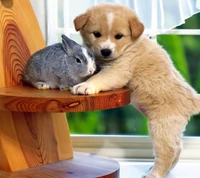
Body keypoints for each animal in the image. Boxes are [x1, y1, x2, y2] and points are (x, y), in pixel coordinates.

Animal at [72, 3, 200, 178]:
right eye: (96, 34)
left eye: (119, 36)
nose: (106, 51)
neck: (130, 46)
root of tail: (192, 98)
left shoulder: (118, 70)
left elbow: (99, 78)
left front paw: (85, 86)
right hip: (173, 128)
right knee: (178, 148)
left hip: (161, 126)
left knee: (168, 151)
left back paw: (155, 173)